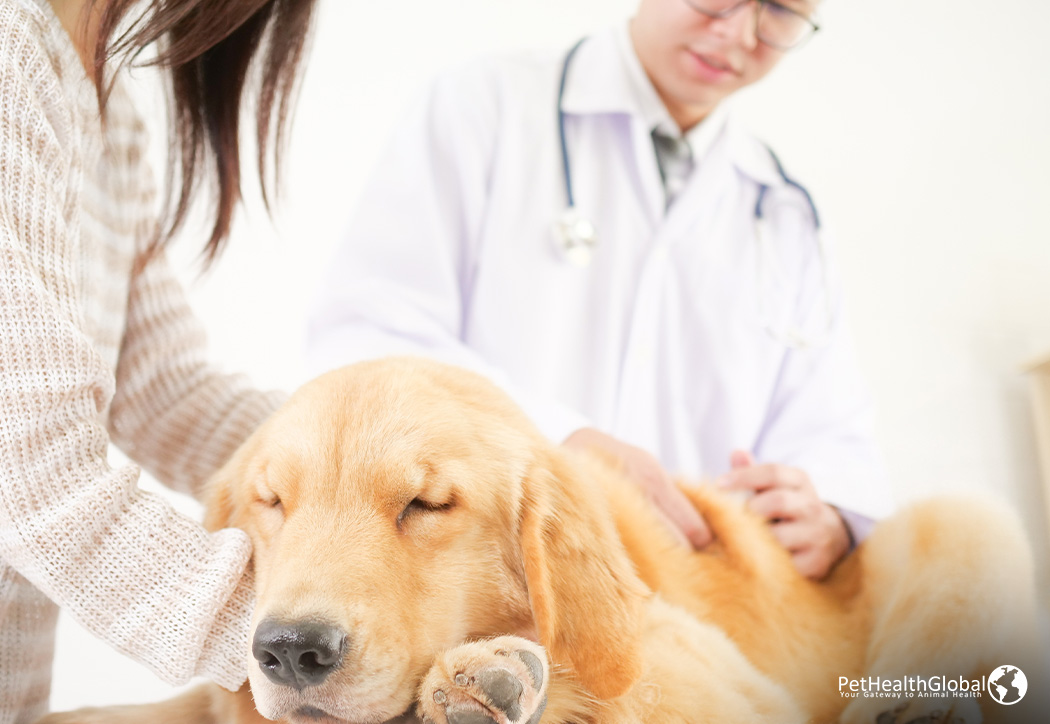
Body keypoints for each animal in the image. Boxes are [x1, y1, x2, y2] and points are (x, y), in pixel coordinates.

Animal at [38, 354, 1041, 721]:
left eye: (425, 506)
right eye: (272, 503)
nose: (287, 651)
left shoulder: (711, 680)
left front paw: (488, 677)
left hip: (963, 521)